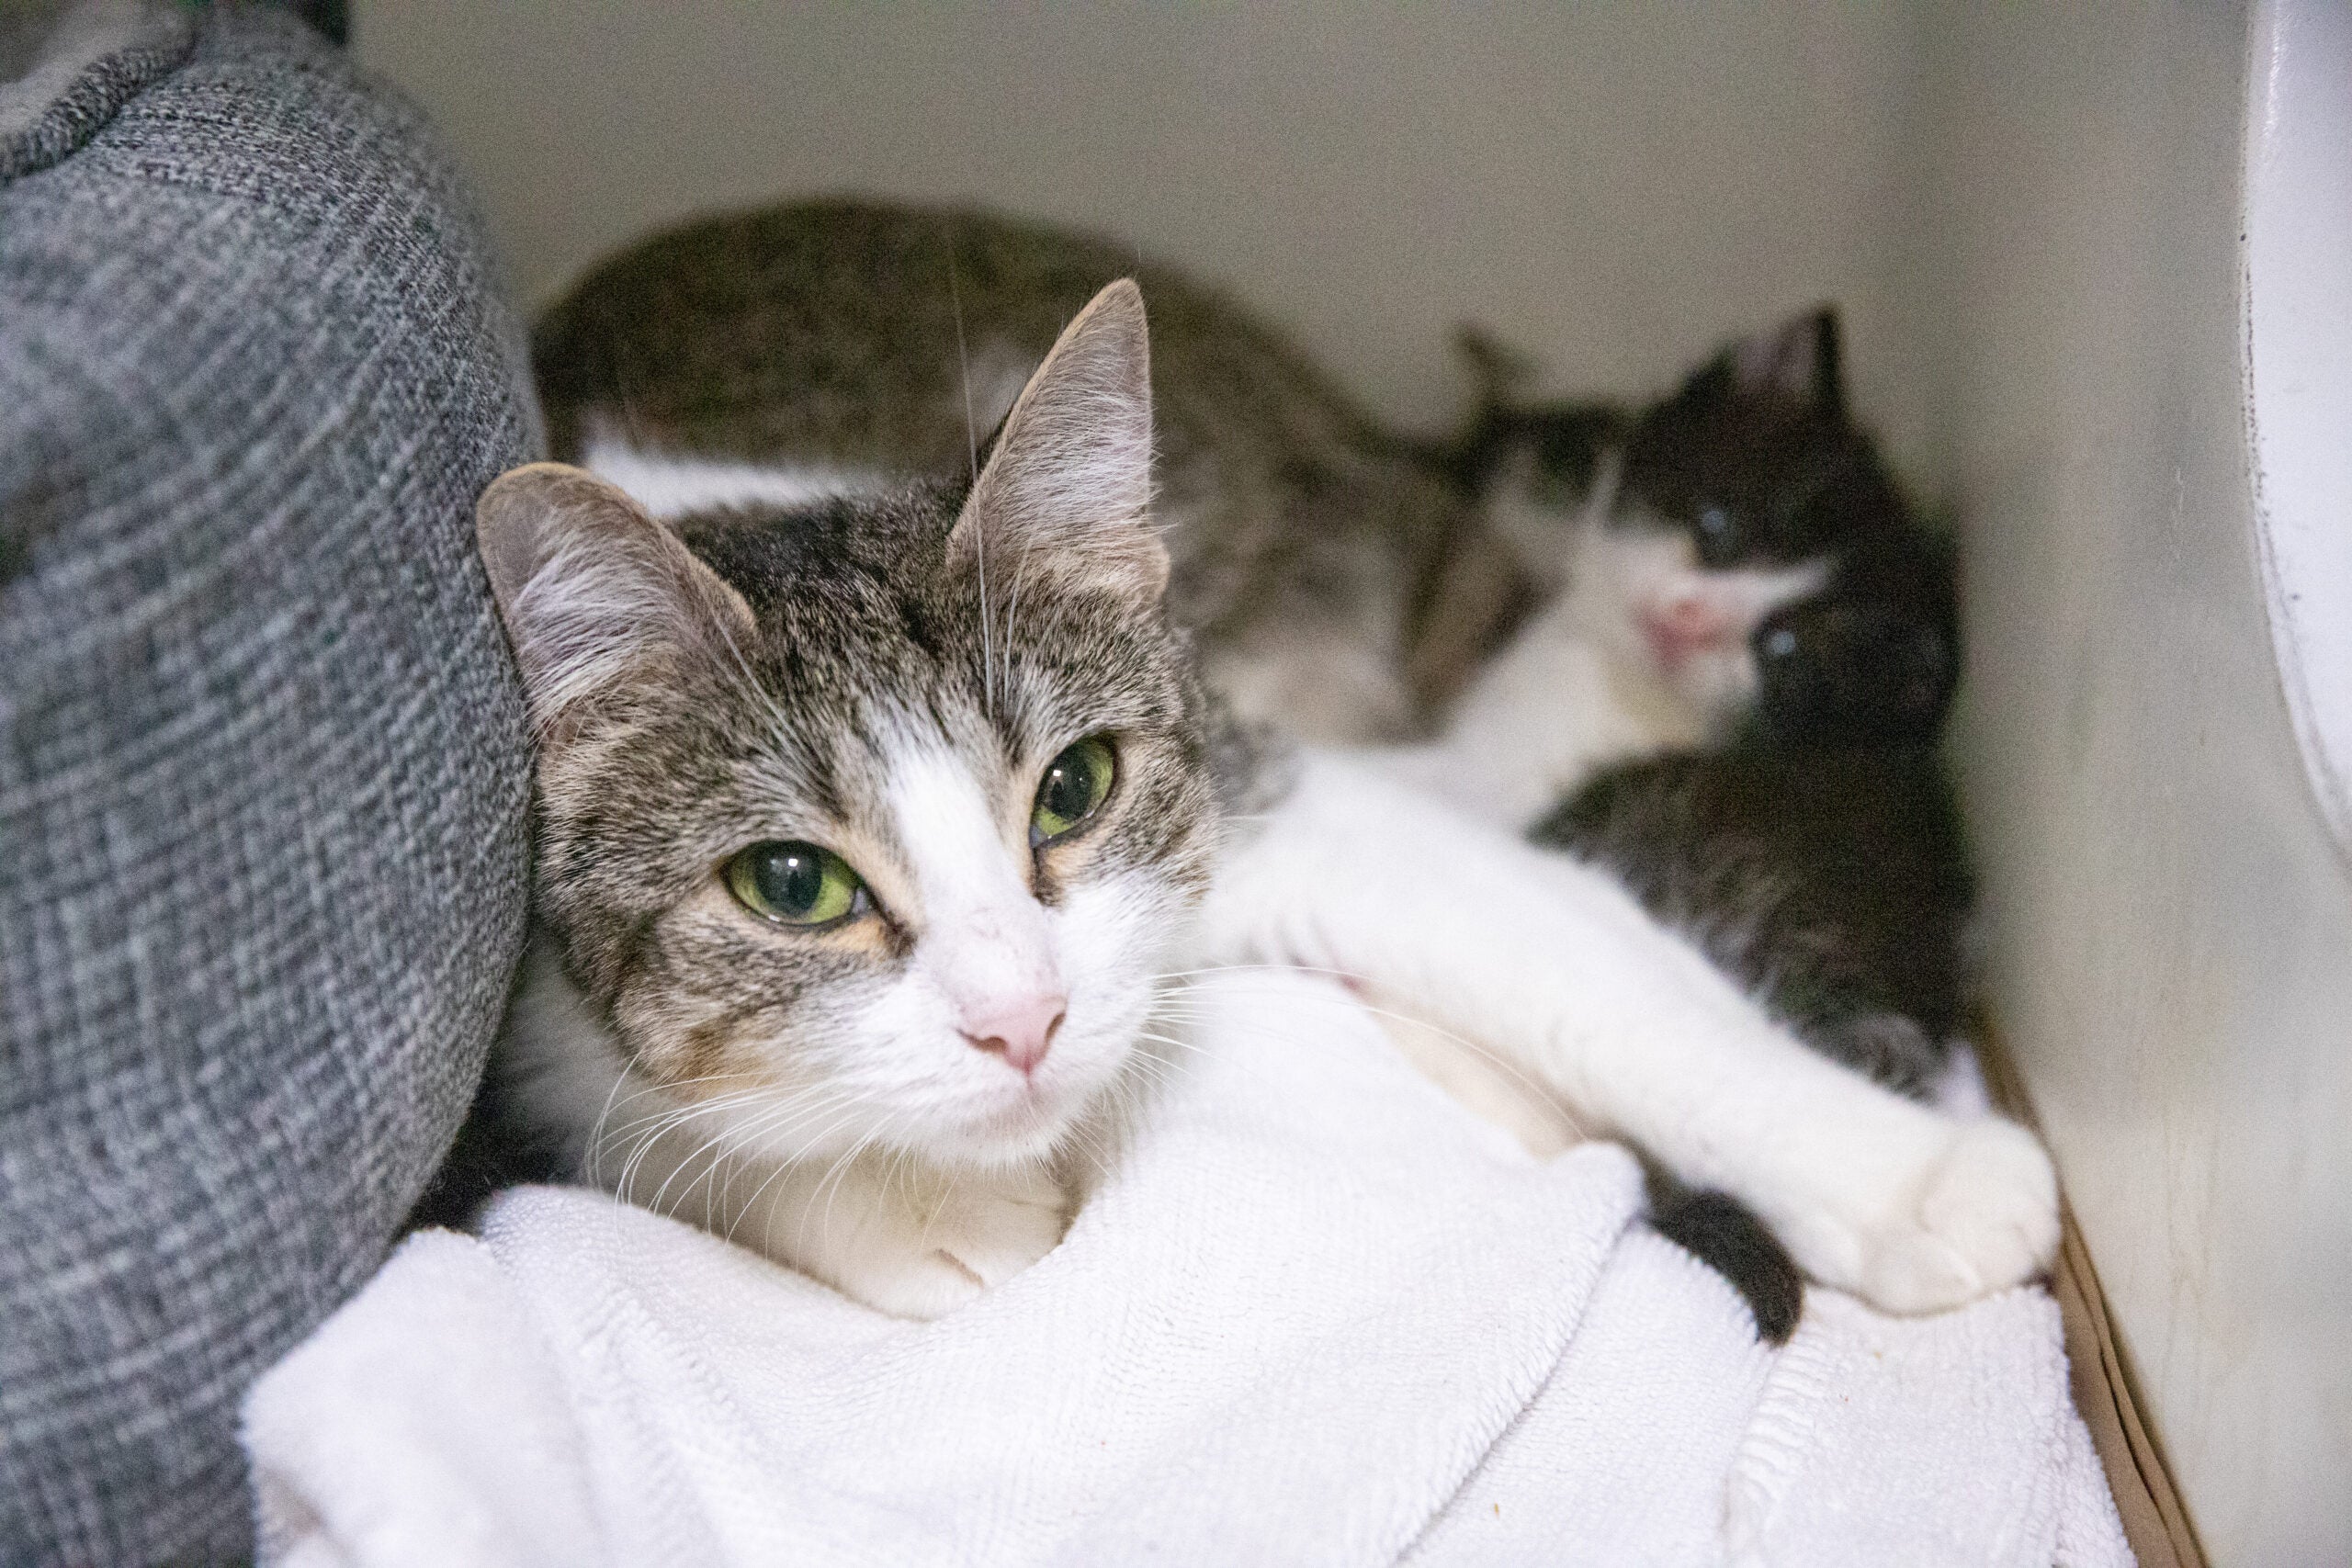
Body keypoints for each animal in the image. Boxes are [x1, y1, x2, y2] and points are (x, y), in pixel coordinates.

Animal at [477, 282, 2060, 1325]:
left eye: (1074, 787)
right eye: (791, 885)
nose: (1025, 1020)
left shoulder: (1279, 784)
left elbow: (1606, 981)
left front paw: (1921, 1179)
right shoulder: (532, 1017)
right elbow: (625, 1113)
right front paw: (905, 1205)